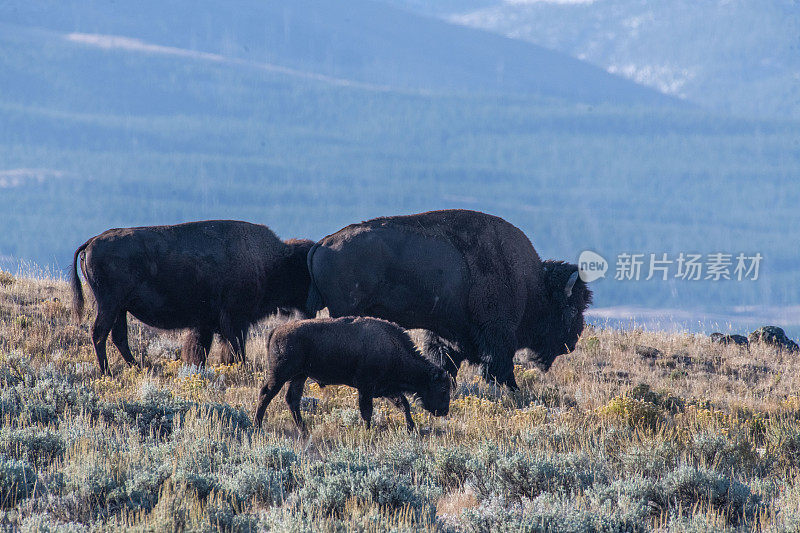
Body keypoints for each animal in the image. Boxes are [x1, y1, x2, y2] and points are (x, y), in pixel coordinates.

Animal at [72, 218, 314, 372]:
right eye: (304, 271)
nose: (315, 304)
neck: (270, 261)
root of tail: (92, 242)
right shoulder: (235, 319)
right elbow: (234, 347)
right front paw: (241, 369)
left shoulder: (207, 322)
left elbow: (202, 348)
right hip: (109, 305)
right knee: (99, 334)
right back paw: (107, 372)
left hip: (119, 308)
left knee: (118, 337)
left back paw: (140, 367)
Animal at [255, 316, 450, 432]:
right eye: (443, 389)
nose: (444, 411)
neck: (392, 347)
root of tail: (275, 331)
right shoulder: (366, 387)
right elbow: (367, 410)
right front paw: (368, 430)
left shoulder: (386, 388)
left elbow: (403, 404)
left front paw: (411, 428)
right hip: (281, 374)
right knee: (266, 394)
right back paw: (257, 426)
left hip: (299, 376)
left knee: (292, 399)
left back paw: (303, 429)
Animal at [306, 210, 592, 388]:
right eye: (572, 310)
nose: (571, 343)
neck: (532, 284)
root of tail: (323, 243)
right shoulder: (497, 334)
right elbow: (499, 367)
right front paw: (511, 390)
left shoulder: (447, 334)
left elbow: (446, 362)